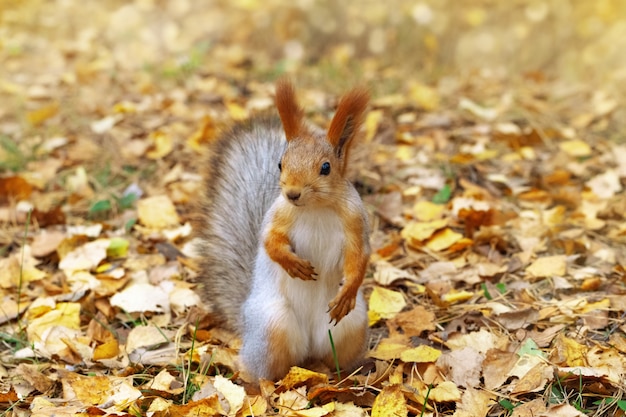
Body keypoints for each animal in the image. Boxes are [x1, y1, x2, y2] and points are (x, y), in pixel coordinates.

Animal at [197, 79, 368, 380]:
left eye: (326, 167)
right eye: (280, 163)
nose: (292, 193)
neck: (316, 208)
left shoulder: (355, 222)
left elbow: (359, 257)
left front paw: (348, 291)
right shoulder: (279, 215)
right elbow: (269, 241)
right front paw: (293, 264)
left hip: (351, 325)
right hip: (271, 326)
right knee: (259, 370)